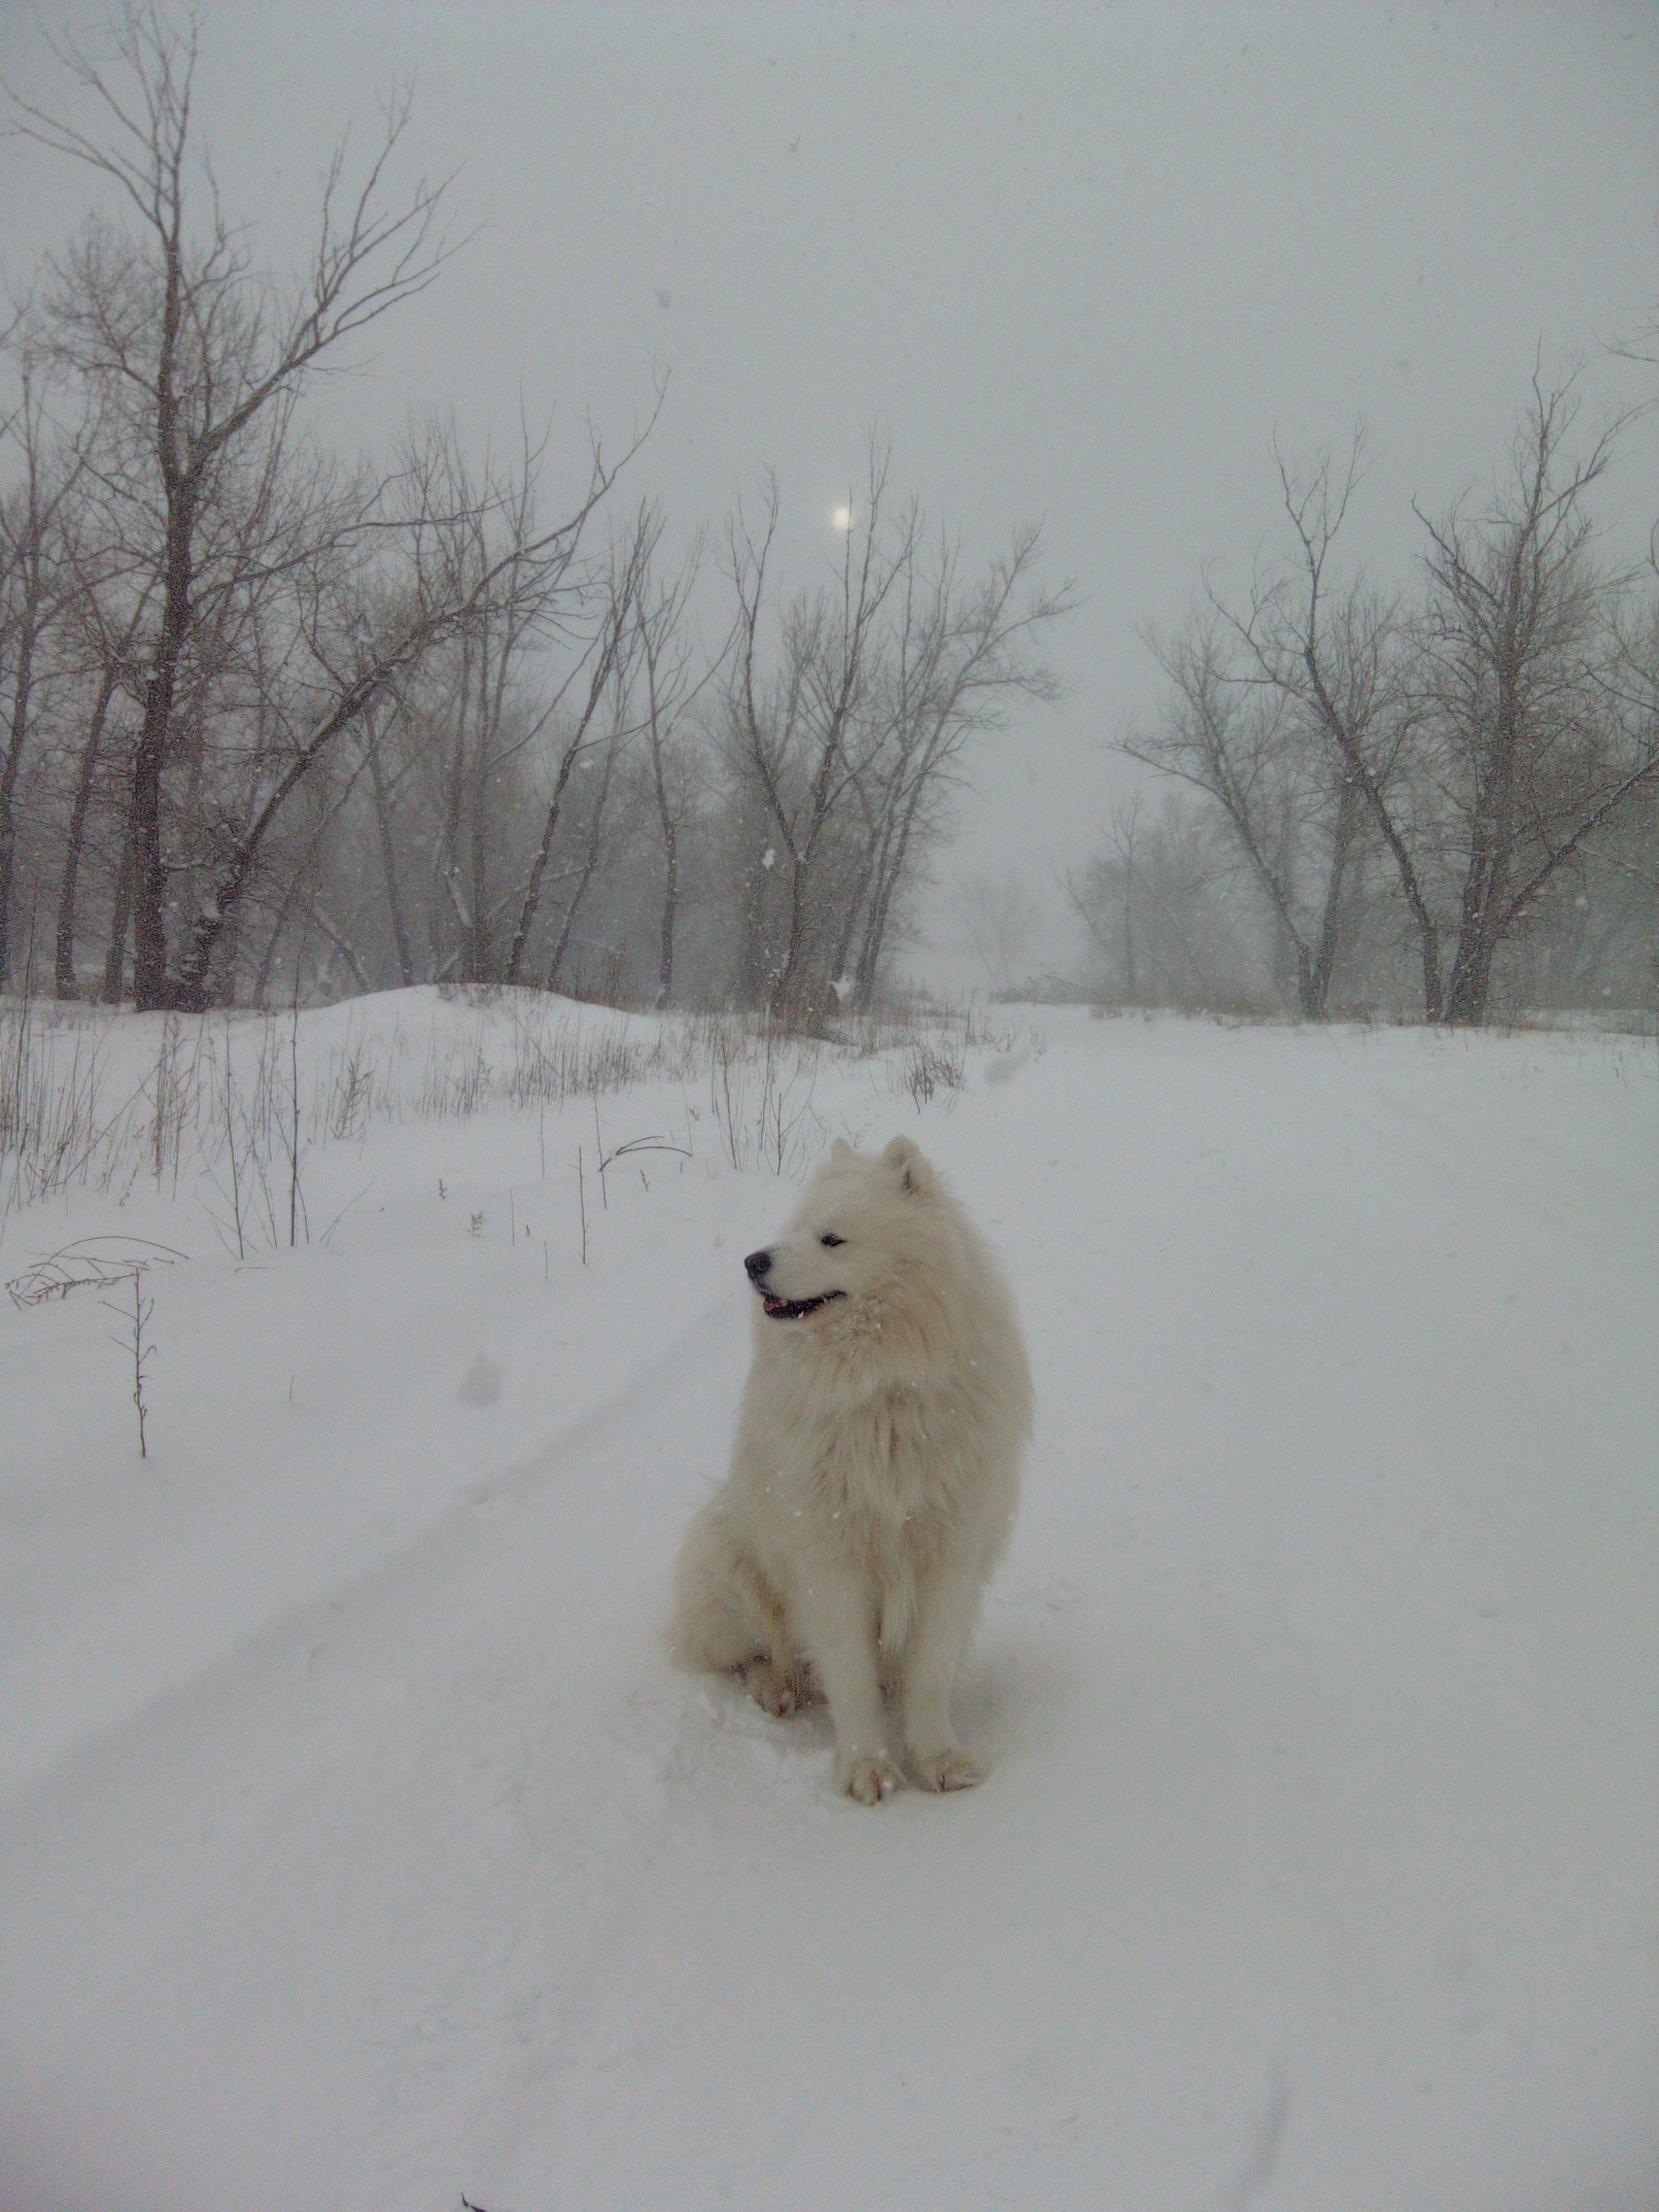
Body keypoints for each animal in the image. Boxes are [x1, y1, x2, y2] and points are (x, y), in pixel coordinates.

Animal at [667, 1141, 1034, 1796]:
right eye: (792, 1229)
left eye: (832, 1238)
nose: (752, 1261)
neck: (882, 1387)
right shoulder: (829, 1555)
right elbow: (851, 1674)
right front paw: (868, 1767)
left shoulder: (951, 1552)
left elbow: (931, 1669)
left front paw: (938, 1758)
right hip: (727, 1564)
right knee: (751, 1655)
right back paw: (776, 1687)